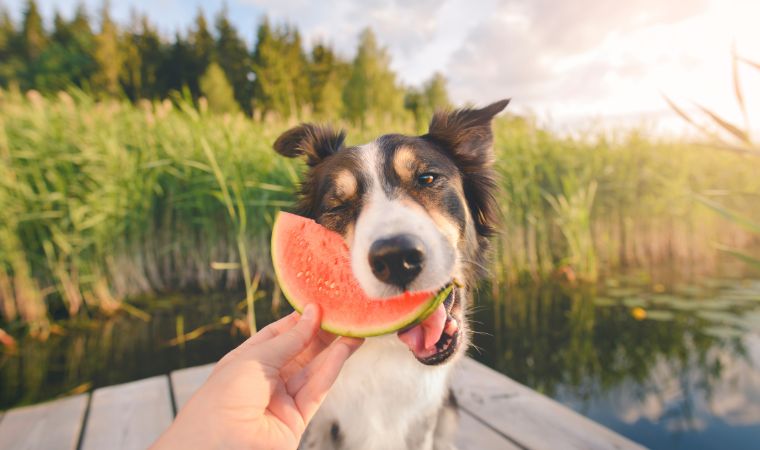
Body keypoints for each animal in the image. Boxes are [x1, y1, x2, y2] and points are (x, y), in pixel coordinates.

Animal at [274, 100, 510, 448]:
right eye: (338, 207)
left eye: (427, 178)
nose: (397, 258)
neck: (388, 351)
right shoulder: (318, 425)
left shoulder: (424, 422)